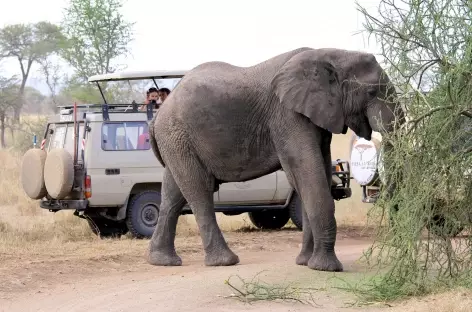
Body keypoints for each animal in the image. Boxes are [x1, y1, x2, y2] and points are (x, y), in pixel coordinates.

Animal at [147, 45, 402, 270]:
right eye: (372, 92)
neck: (332, 55)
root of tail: (158, 114)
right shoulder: (287, 115)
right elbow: (306, 171)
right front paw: (326, 268)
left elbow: (313, 174)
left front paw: (305, 262)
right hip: (178, 136)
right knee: (199, 190)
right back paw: (225, 261)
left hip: (177, 142)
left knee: (173, 193)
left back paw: (163, 261)